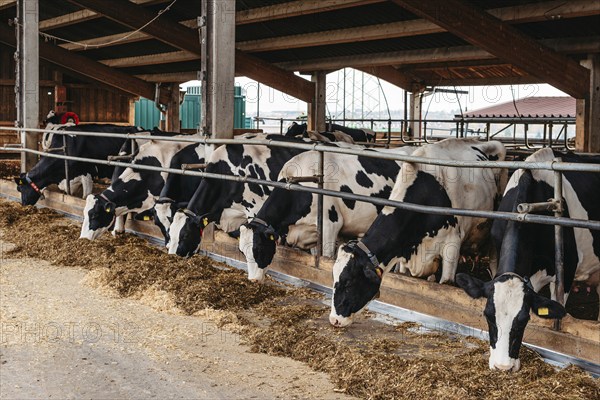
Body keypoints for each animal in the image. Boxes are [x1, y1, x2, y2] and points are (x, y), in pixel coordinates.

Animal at [238, 147, 412, 282]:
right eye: (242, 252)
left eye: (259, 249)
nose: (253, 280)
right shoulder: (312, 233)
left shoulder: (329, 226)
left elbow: (326, 258)